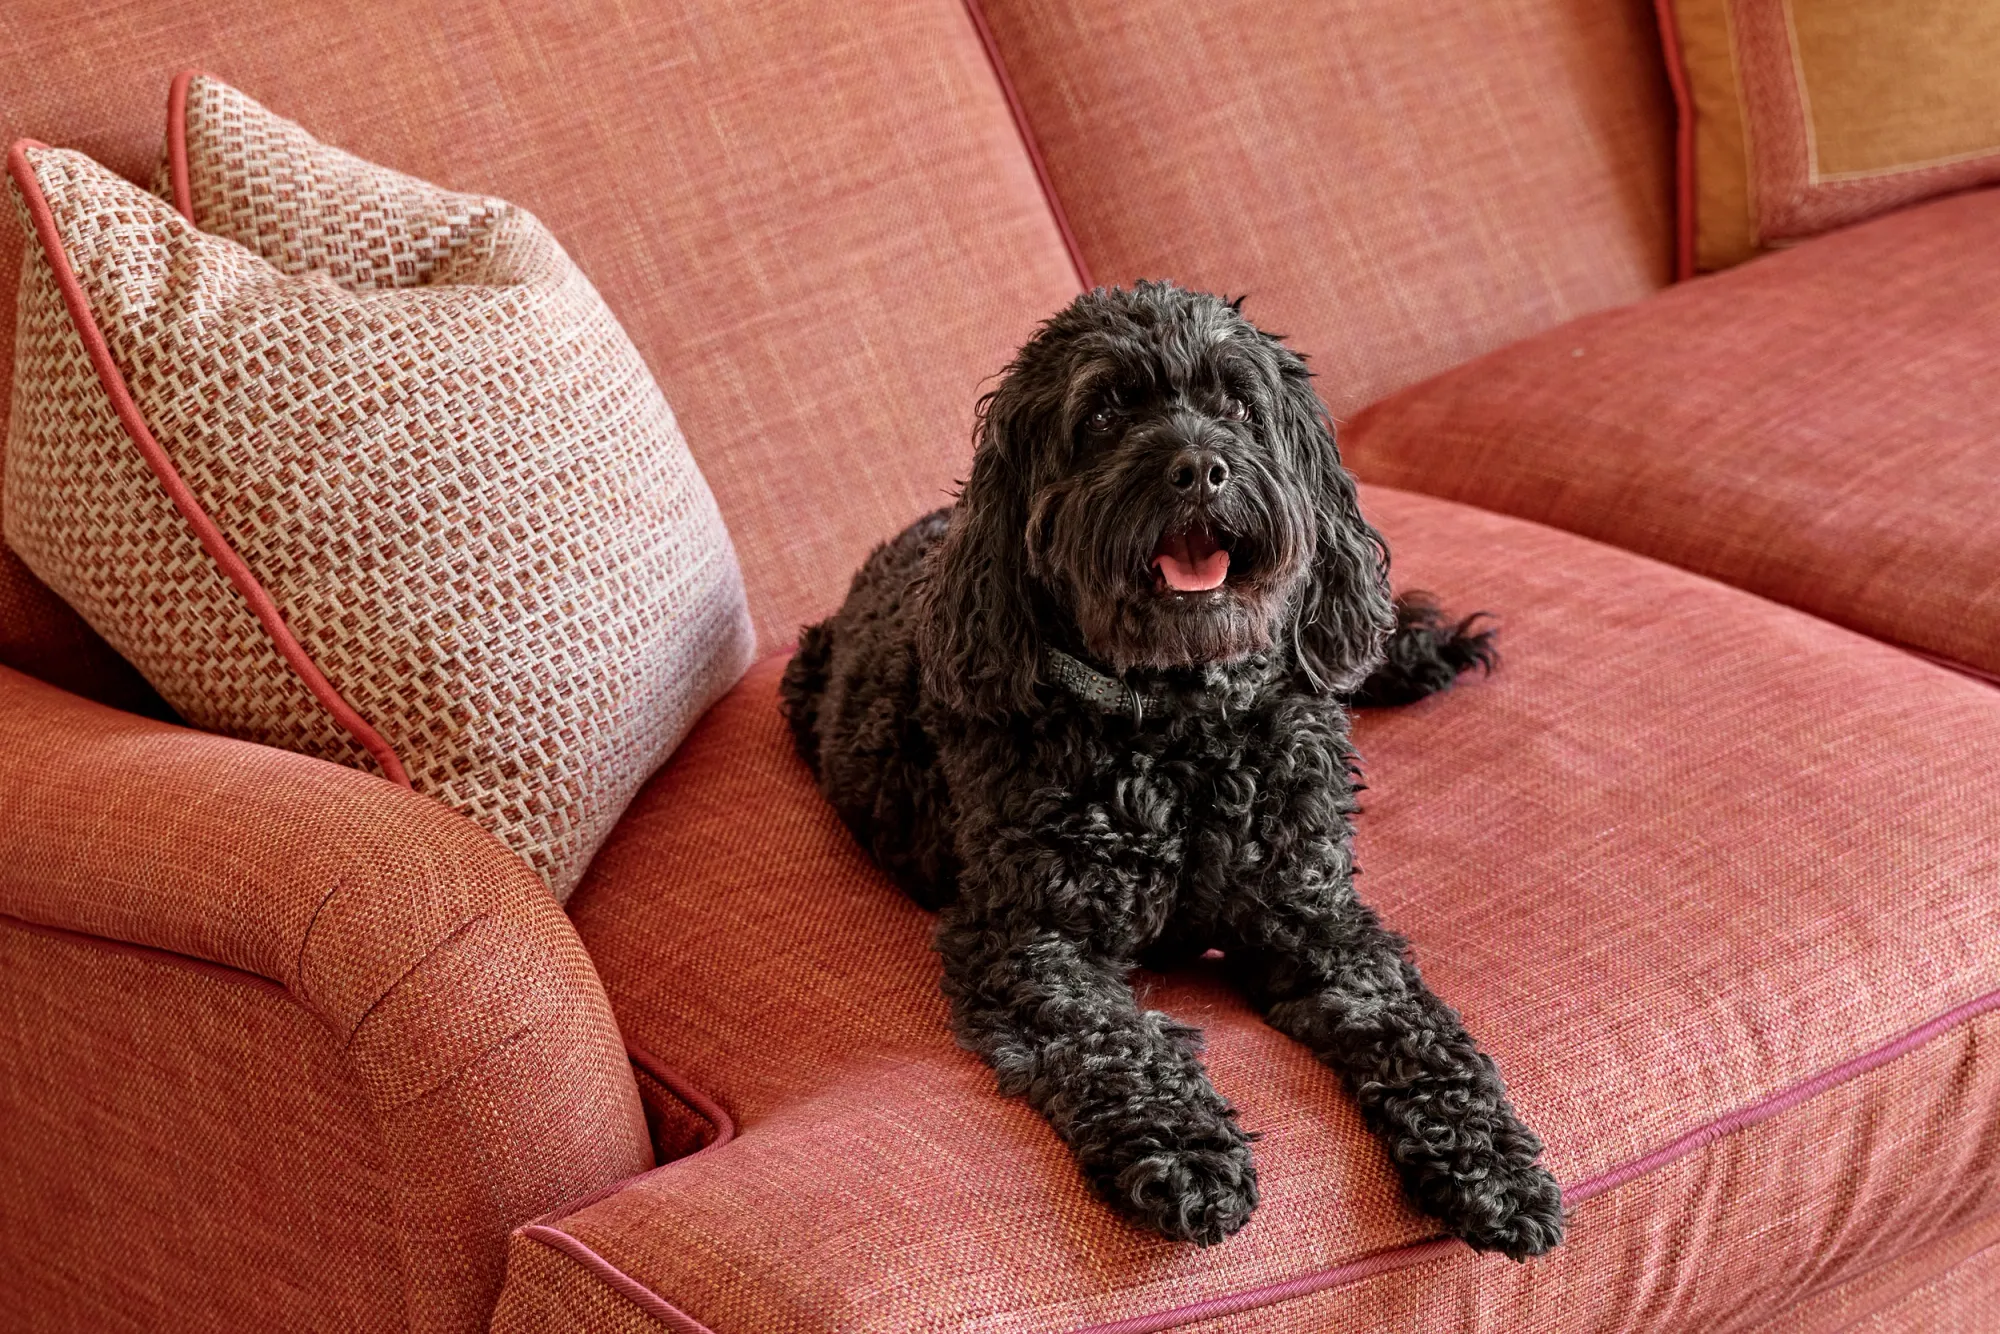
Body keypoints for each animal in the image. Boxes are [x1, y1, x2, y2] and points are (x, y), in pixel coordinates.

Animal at [776, 284, 1560, 1264]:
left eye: (1238, 406)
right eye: (1104, 413)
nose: (1199, 470)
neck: (1183, 731)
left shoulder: (1316, 919)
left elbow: (1413, 1025)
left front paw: (1488, 1159)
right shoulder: (1031, 944)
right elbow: (1118, 1043)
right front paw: (1188, 1151)